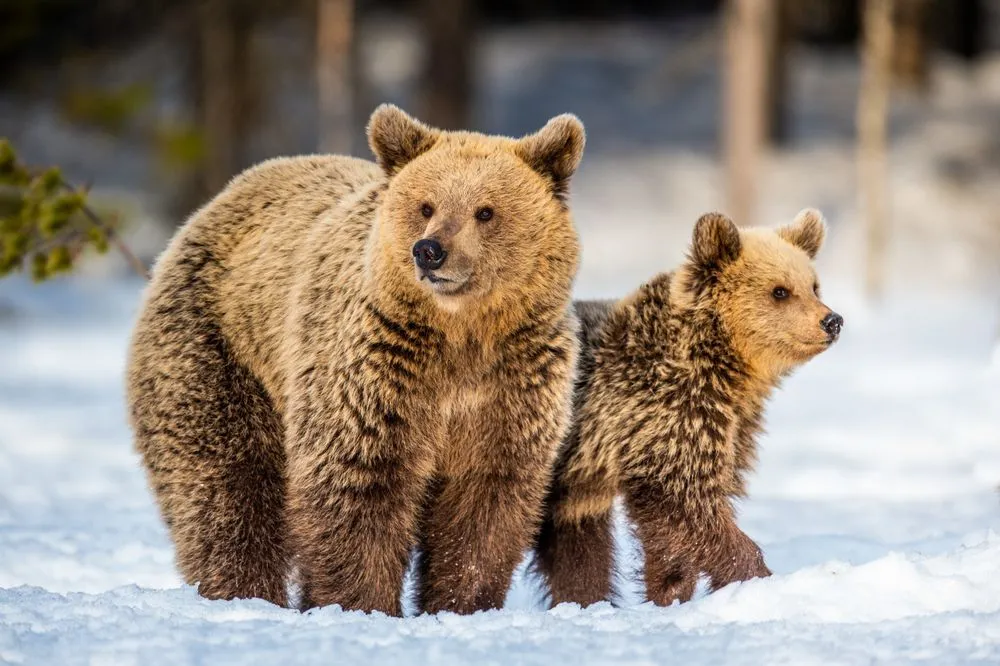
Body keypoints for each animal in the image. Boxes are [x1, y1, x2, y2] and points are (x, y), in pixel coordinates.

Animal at [126, 104, 585, 616]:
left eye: (485, 211)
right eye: (426, 206)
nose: (430, 251)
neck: (460, 335)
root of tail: (217, 201)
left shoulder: (512, 383)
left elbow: (484, 503)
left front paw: (461, 603)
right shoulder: (376, 370)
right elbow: (359, 482)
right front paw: (360, 603)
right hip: (218, 348)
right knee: (227, 483)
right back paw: (244, 593)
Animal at [533, 209, 842, 607]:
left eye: (814, 285)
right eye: (780, 290)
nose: (832, 320)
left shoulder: (727, 427)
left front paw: (668, 591)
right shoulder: (666, 414)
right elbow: (688, 504)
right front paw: (756, 578)